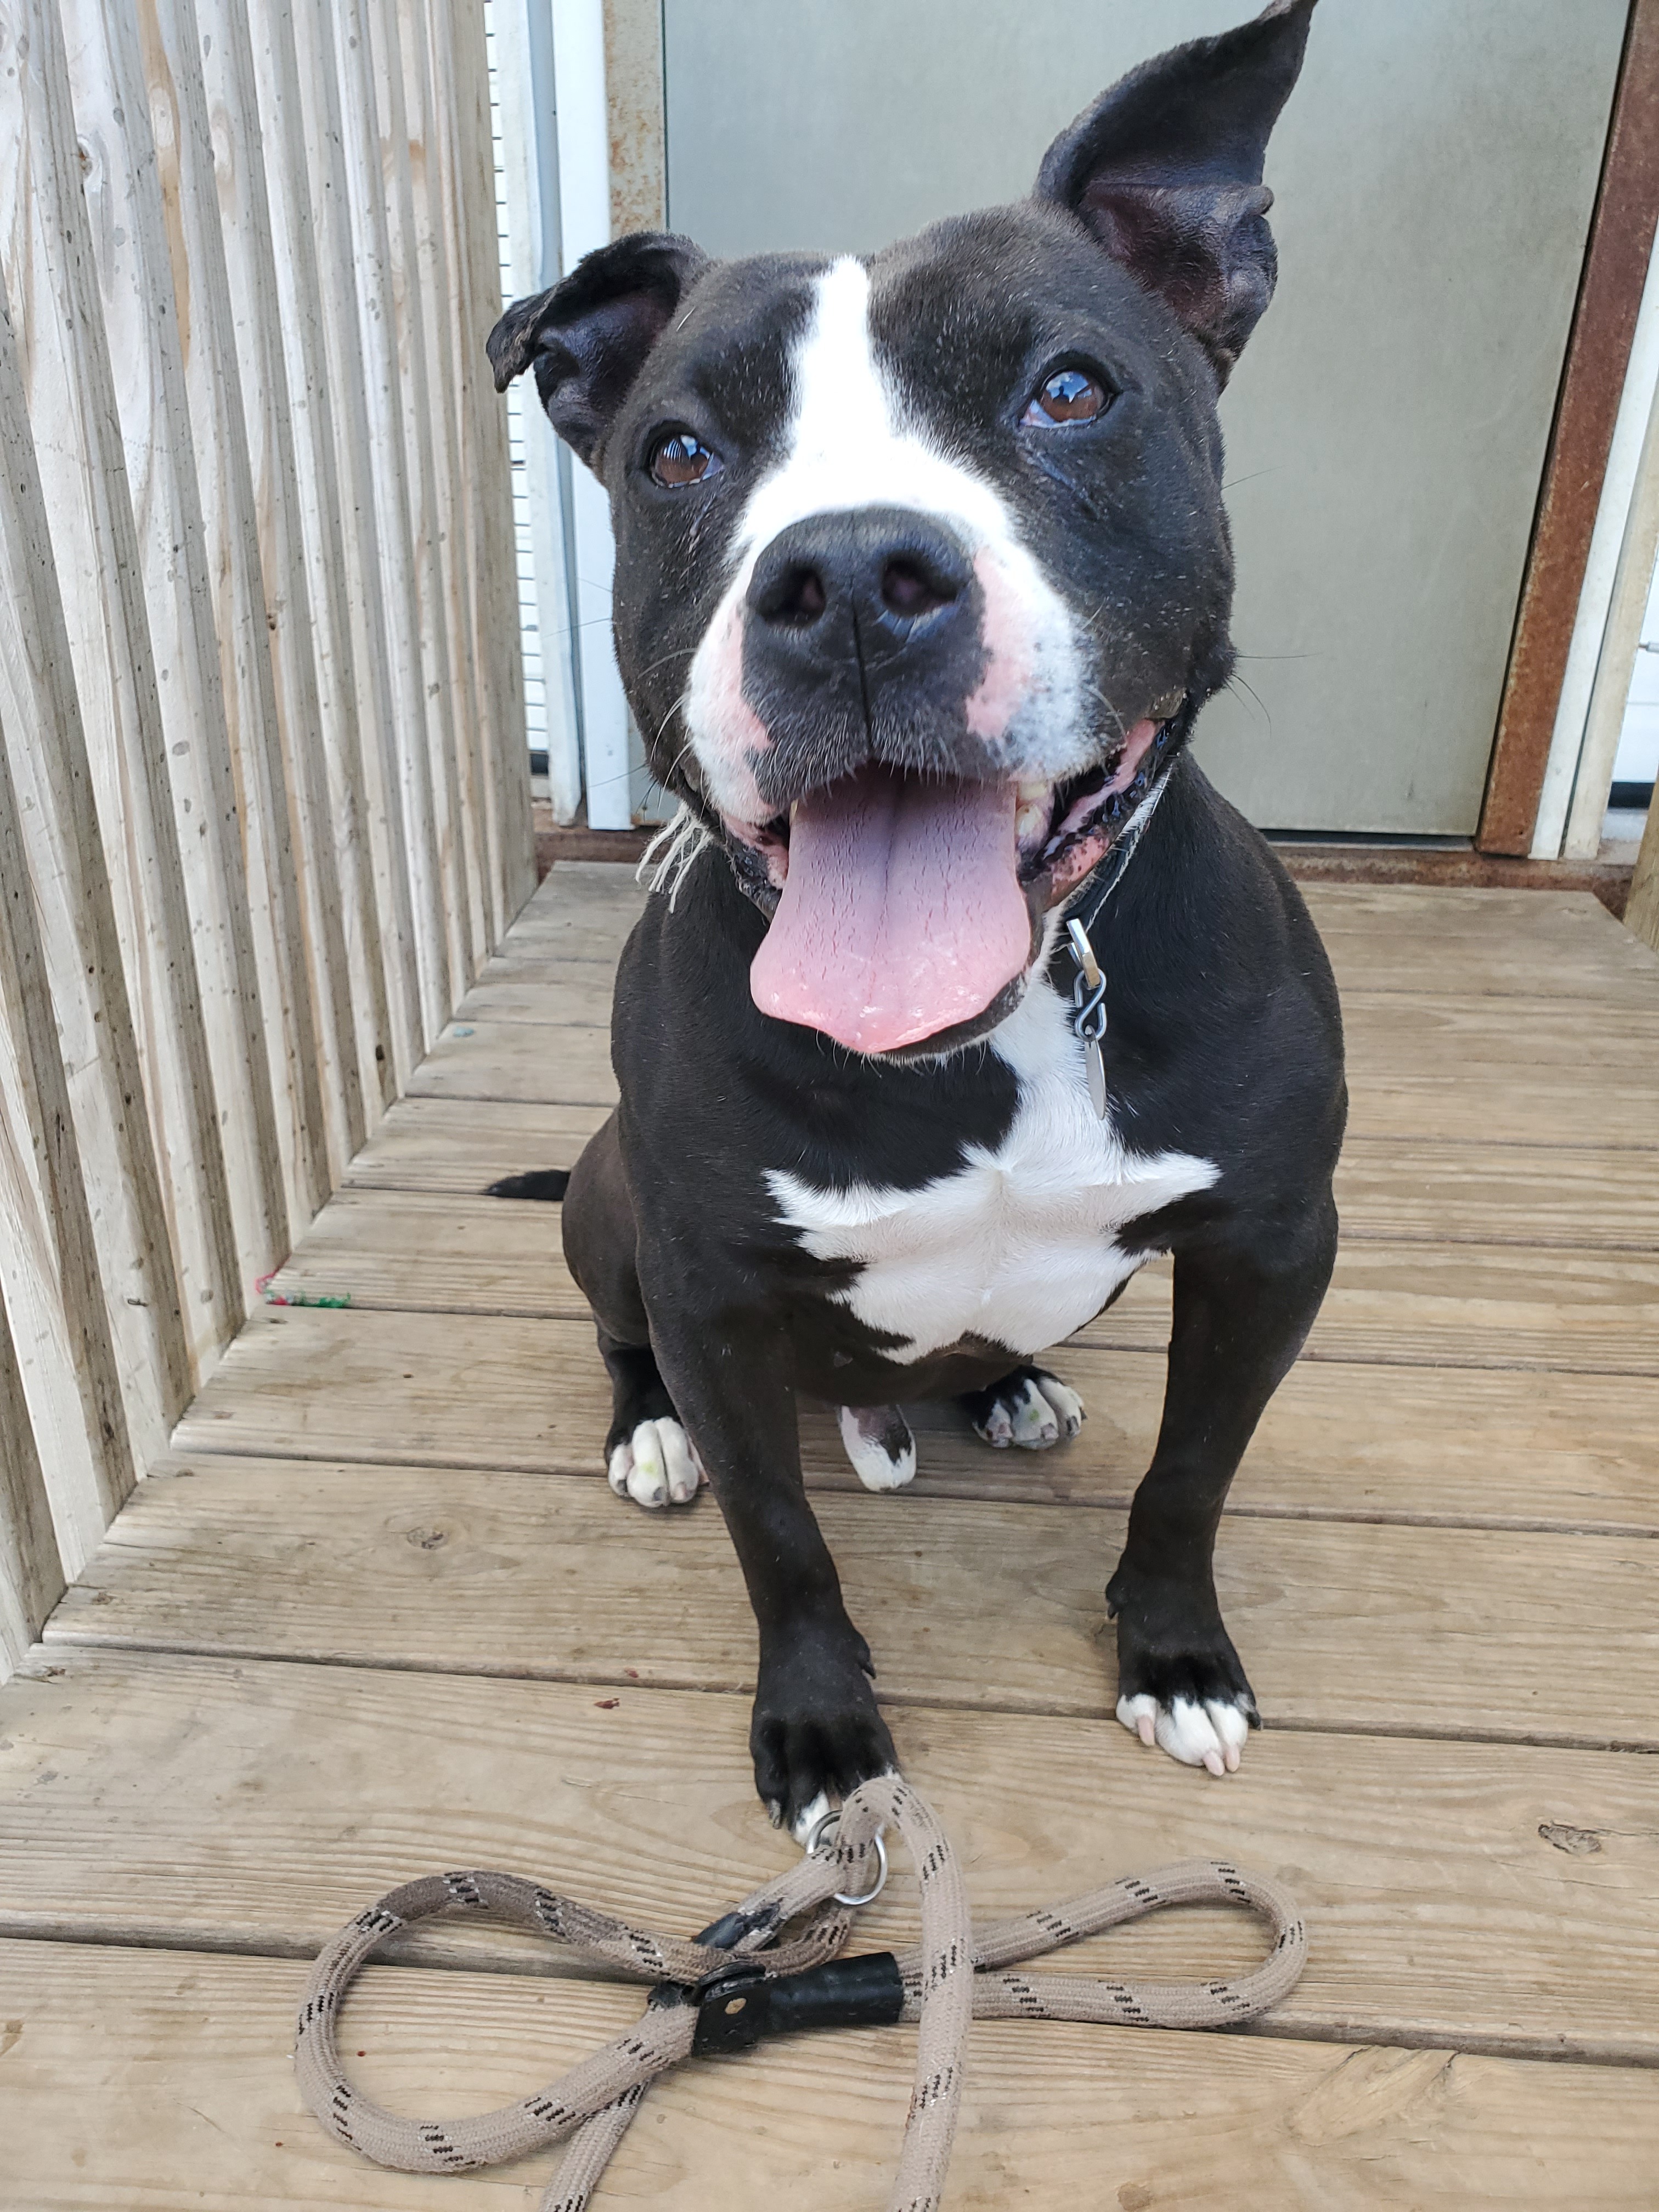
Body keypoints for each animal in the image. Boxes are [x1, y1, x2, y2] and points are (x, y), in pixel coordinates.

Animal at [487, 0, 1345, 1831]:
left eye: (1070, 391)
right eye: (680, 451)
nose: (853, 582)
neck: (995, 1028)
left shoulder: (1272, 1248)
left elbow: (1193, 1474)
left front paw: (1175, 1655)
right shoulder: (713, 1286)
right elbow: (782, 1542)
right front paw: (822, 1732)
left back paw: (1007, 1380)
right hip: (606, 1201)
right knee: (625, 1340)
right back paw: (649, 1432)